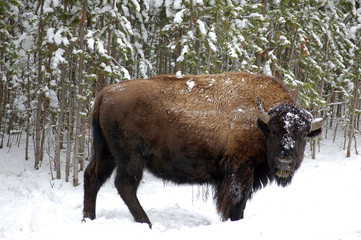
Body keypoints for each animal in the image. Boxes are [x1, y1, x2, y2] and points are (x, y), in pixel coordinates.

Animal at [82, 71, 326, 227]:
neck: (259, 122)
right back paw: (146, 223)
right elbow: (236, 201)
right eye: (274, 131)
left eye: (303, 134)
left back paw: (88, 218)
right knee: (125, 185)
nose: (285, 163)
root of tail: (105, 93)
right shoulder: (240, 171)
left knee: (93, 176)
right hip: (131, 158)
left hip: (107, 152)